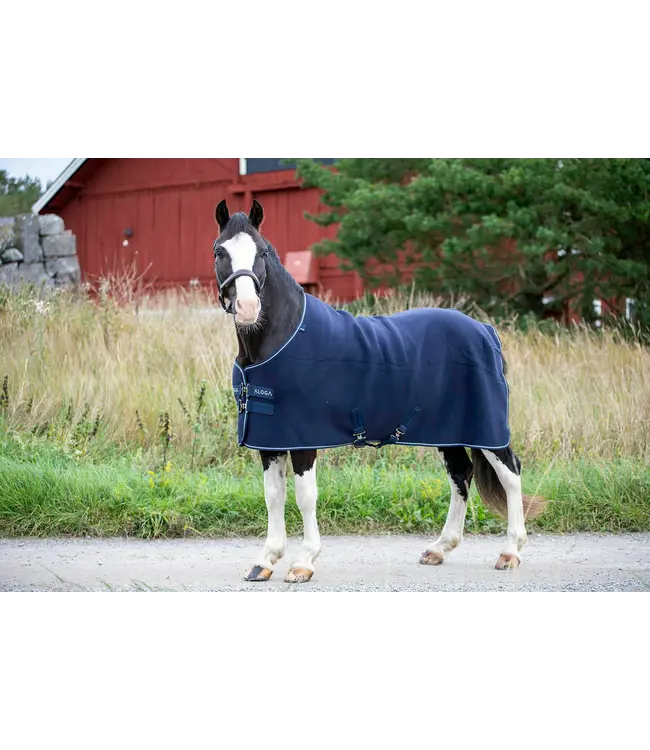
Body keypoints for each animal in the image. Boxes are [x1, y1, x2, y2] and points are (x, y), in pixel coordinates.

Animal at [213, 199, 547, 584]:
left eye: (263, 252)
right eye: (220, 251)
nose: (248, 308)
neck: (282, 336)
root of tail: (485, 330)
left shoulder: (302, 439)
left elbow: (305, 496)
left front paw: (303, 562)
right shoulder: (270, 439)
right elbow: (273, 496)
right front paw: (265, 561)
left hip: (487, 429)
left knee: (510, 474)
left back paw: (510, 551)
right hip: (449, 431)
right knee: (461, 475)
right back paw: (439, 548)